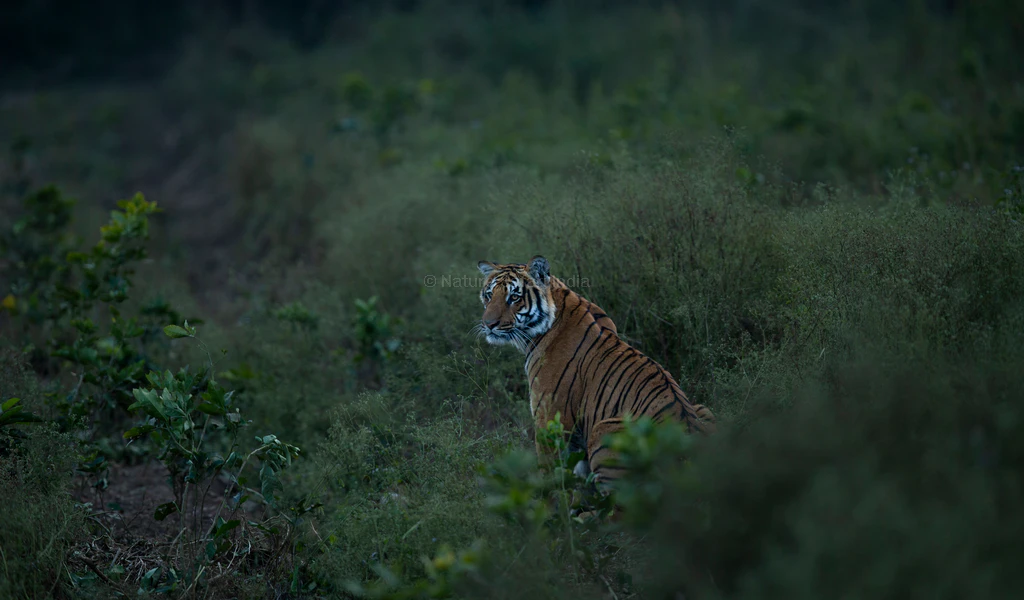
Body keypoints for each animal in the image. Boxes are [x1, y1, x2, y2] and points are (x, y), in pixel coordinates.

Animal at [475, 255, 715, 487]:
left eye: (514, 297)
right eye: (489, 295)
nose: (489, 324)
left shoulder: (549, 419)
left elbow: (551, 476)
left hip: (603, 431)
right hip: (702, 409)